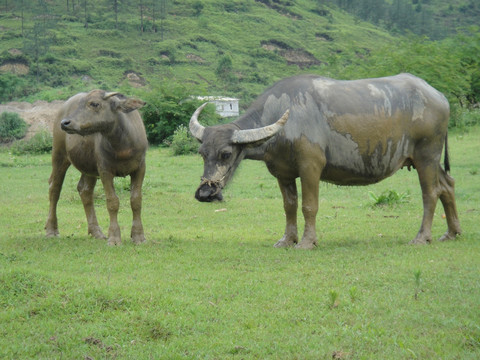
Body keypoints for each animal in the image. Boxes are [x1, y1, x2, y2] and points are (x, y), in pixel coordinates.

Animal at [45, 90, 147, 246]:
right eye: (80, 104)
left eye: (94, 104)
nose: (65, 123)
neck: (122, 146)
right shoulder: (105, 170)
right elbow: (112, 201)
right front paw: (114, 238)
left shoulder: (140, 169)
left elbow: (136, 200)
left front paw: (138, 236)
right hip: (58, 154)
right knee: (54, 188)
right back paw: (51, 230)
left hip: (89, 167)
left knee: (85, 190)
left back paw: (96, 232)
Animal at [190, 73, 462, 248]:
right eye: (202, 152)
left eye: (226, 153)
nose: (204, 193)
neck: (283, 121)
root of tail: (439, 97)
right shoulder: (283, 173)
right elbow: (289, 206)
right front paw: (287, 240)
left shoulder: (311, 167)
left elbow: (309, 205)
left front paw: (307, 242)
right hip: (427, 159)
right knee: (447, 184)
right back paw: (452, 233)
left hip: (427, 155)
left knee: (431, 193)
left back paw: (422, 237)